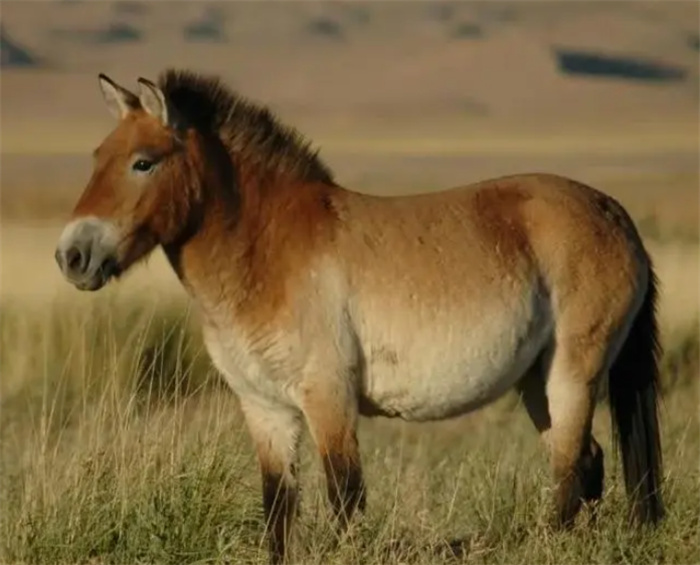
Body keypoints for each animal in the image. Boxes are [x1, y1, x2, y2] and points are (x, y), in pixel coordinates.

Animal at [54, 70, 660, 564]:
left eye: (143, 162)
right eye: (96, 157)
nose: (72, 256)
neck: (266, 251)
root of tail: (614, 214)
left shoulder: (329, 398)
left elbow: (345, 500)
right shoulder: (265, 409)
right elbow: (278, 511)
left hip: (572, 374)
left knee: (572, 472)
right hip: (536, 381)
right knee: (586, 463)